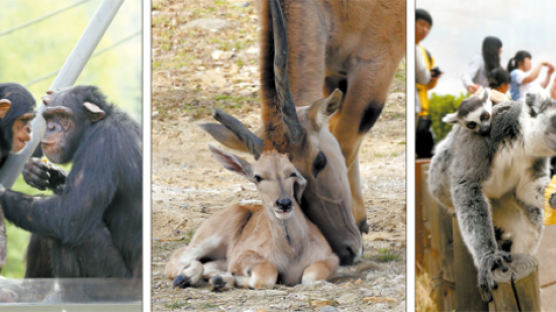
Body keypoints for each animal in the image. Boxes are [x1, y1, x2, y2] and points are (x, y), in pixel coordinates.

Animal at [0, 84, 141, 278]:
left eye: (62, 116)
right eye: (49, 117)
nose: (51, 127)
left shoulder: (103, 143)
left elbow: (71, 212)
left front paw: (1, 192)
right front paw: (35, 170)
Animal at [165, 144, 338, 290]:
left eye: (292, 173)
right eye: (258, 177)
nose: (284, 203)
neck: (292, 250)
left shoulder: (331, 259)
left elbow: (310, 278)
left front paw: (223, 279)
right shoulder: (242, 258)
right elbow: (265, 277)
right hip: (208, 240)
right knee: (179, 257)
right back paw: (185, 277)